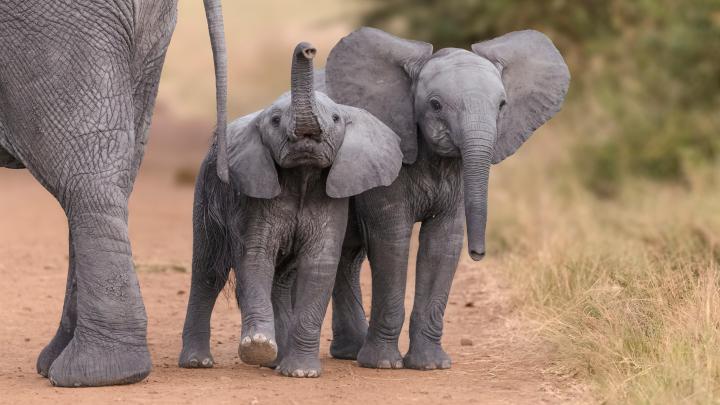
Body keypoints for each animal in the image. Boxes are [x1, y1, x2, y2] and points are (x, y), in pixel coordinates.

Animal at [178, 42, 402, 378]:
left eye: (336, 118)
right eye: (273, 120)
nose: (308, 49)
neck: (302, 175)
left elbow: (318, 266)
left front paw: (300, 372)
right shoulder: (256, 197)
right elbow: (256, 258)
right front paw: (257, 346)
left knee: (281, 280)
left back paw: (277, 362)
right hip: (206, 189)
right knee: (208, 271)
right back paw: (198, 362)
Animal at [324, 27, 570, 370]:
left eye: (502, 105)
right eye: (436, 105)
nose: (479, 254)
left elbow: (442, 243)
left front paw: (430, 365)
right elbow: (392, 240)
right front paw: (383, 364)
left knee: (348, 256)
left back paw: (349, 352)